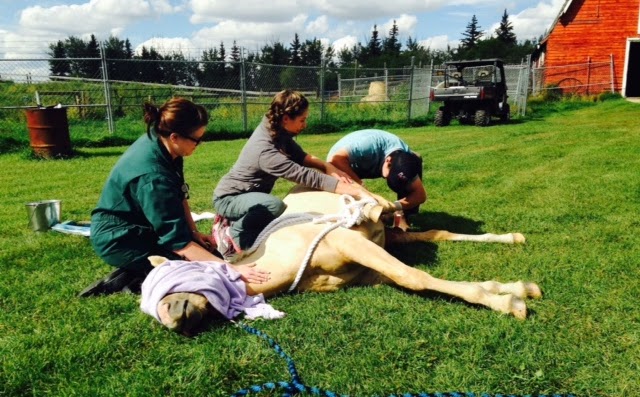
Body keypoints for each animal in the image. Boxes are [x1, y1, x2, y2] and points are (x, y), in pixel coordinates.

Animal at [145, 186, 540, 334]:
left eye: (174, 270)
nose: (170, 317)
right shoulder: (368, 270)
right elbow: (411, 276)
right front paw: (512, 290)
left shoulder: (349, 242)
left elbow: (413, 277)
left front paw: (507, 303)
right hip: (390, 239)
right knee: (434, 234)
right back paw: (512, 240)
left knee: (395, 212)